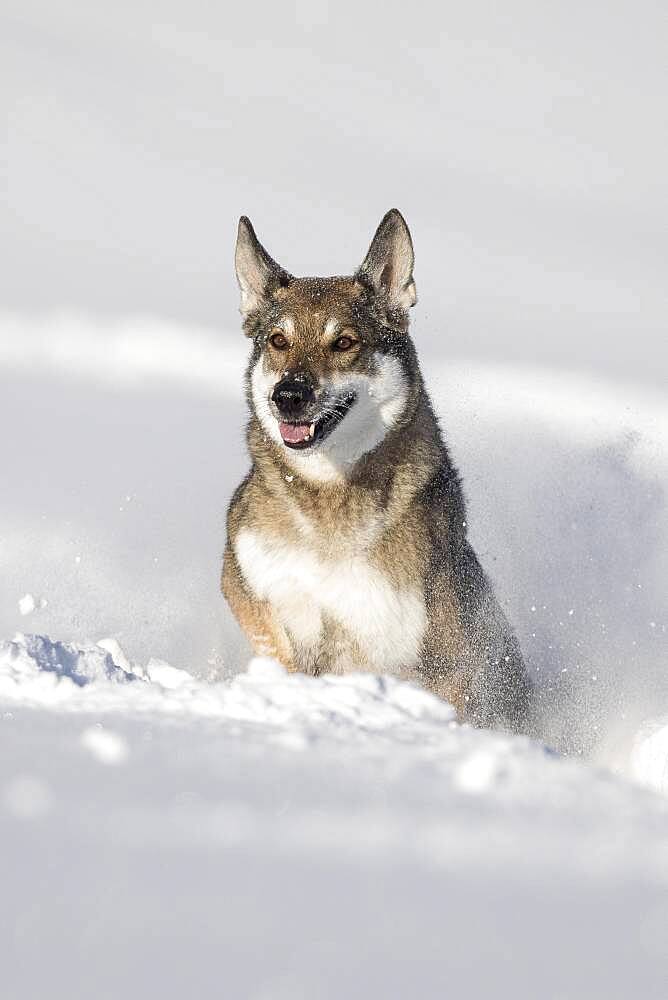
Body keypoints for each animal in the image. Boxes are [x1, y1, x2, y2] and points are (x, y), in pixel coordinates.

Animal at [223, 211, 532, 732]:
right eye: (278, 341)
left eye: (344, 342)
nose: (288, 396)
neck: (328, 500)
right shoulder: (246, 582)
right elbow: (276, 642)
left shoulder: (433, 658)